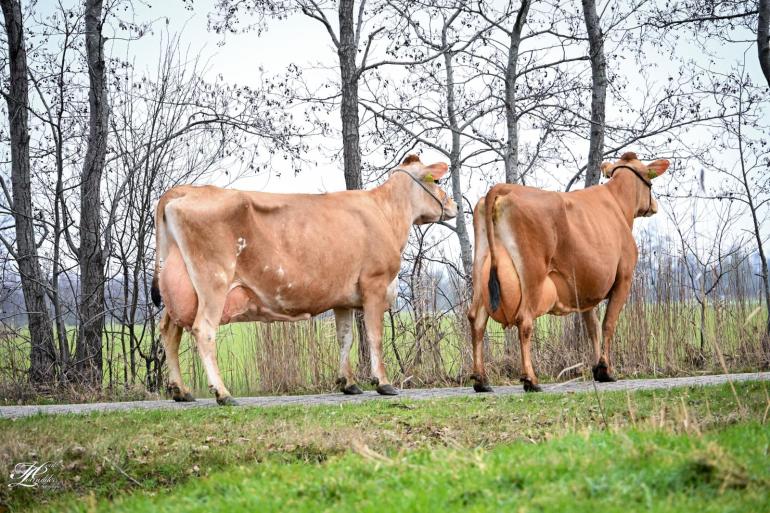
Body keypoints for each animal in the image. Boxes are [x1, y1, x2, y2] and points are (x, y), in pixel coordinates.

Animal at [151, 155, 457, 405]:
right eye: (438, 180)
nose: (454, 204)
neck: (386, 213)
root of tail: (186, 189)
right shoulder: (375, 284)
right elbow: (374, 336)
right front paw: (383, 383)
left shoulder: (343, 298)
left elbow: (345, 338)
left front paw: (348, 383)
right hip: (213, 281)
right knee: (203, 329)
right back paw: (223, 393)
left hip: (179, 288)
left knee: (169, 330)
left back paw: (181, 391)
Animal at [467, 152, 669, 392]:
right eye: (650, 179)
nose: (654, 206)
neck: (618, 204)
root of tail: (503, 188)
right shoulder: (624, 277)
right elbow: (608, 324)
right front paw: (606, 370)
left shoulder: (585, 288)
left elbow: (592, 328)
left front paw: (597, 369)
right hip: (533, 275)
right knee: (524, 320)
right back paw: (531, 380)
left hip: (480, 270)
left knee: (477, 319)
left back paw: (481, 381)